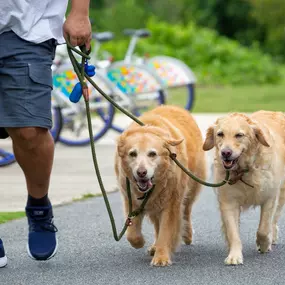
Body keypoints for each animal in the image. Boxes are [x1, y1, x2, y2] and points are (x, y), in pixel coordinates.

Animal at [114, 105, 205, 266]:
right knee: (157, 224)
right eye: (132, 154)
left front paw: (162, 257)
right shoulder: (131, 201)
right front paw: (140, 242)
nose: (141, 172)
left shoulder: (171, 204)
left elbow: (166, 231)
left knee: (186, 211)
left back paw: (187, 235)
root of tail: (175, 107)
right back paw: (154, 246)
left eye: (152, 154)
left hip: (191, 188)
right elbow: (132, 233)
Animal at [202, 110, 284, 264]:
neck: (244, 170)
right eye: (220, 134)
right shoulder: (228, 202)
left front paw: (264, 244)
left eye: (239, 135)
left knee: (274, 219)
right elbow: (233, 232)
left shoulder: (270, 197)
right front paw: (234, 256)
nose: (225, 153)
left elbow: (264, 228)